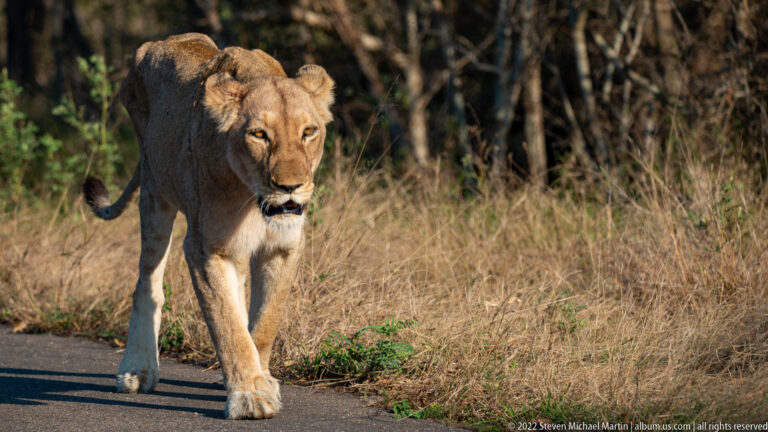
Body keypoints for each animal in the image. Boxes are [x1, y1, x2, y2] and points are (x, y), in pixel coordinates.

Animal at [82, 33, 334, 419]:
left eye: (309, 132)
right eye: (259, 134)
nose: (290, 187)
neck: (252, 200)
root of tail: (162, 40)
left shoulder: (283, 245)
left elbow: (264, 322)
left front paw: (260, 379)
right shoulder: (204, 247)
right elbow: (227, 325)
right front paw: (250, 396)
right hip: (155, 192)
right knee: (147, 285)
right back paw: (137, 370)